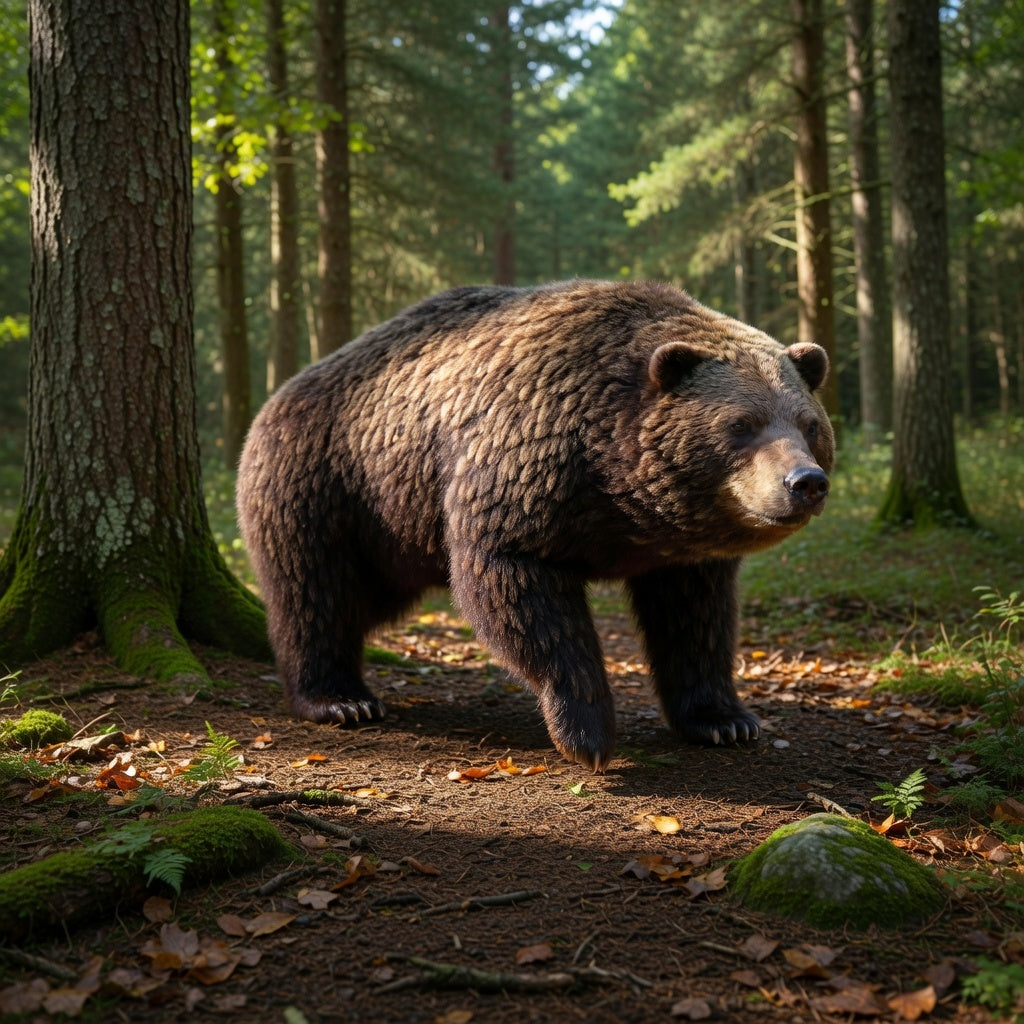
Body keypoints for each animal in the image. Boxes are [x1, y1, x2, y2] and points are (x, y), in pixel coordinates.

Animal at [236, 279, 834, 771]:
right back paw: (340, 699)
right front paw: (587, 733)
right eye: (742, 424)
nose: (805, 481)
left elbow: (696, 620)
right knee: (314, 592)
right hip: (331, 486)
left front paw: (725, 720)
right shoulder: (523, 486)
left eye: (808, 423)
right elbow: (524, 598)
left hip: (394, 536)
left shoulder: (681, 553)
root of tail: (283, 391)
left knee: (360, 599)